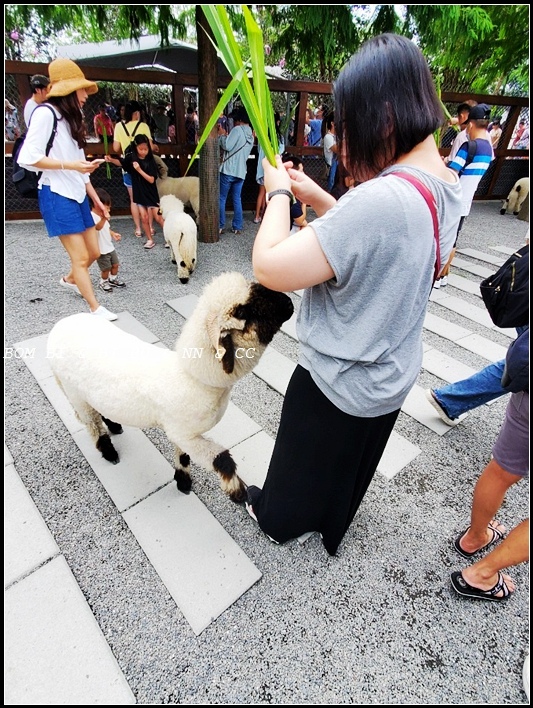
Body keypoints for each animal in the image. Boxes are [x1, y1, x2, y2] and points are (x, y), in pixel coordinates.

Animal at [46, 272, 294, 504]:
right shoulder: (183, 433)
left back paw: (115, 425)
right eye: (243, 311)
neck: (194, 377)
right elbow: (222, 460)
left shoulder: (182, 433)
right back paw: (109, 452)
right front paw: (238, 493)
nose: (290, 303)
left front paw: (183, 482)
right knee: (92, 424)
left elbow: (183, 457)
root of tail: (59, 327)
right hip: (74, 393)